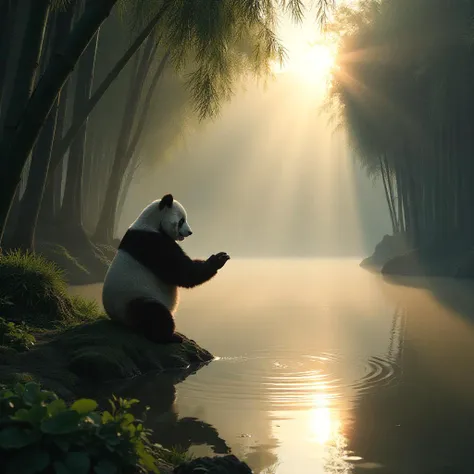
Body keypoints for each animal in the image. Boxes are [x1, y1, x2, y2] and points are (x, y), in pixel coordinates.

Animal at [103, 193, 231, 344]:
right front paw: (218, 259)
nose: (190, 232)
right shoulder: (152, 243)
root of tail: (120, 321)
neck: (150, 222)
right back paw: (169, 336)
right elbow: (183, 273)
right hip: (134, 298)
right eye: (181, 220)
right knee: (155, 314)